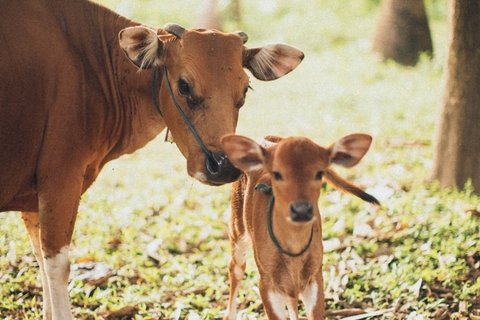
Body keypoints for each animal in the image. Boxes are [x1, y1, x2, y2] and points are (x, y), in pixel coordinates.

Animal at [0, 0, 304, 318]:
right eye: (184, 86)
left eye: (244, 89)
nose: (223, 166)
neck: (91, 65)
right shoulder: (61, 180)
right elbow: (57, 267)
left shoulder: (35, 196)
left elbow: (40, 259)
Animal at [220, 134, 378, 318]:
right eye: (277, 174)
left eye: (319, 173)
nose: (301, 210)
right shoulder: (266, 281)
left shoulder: (315, 274)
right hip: (236, 228)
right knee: (236, 268)